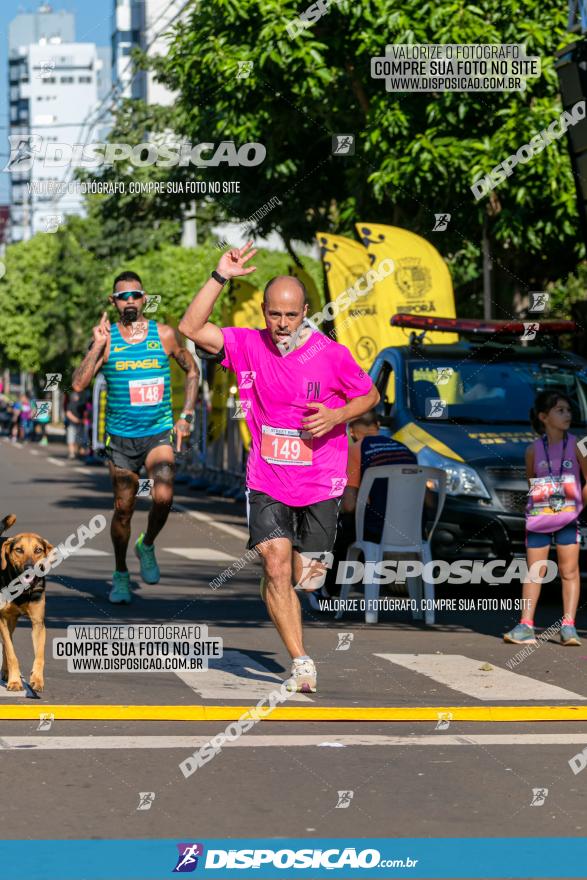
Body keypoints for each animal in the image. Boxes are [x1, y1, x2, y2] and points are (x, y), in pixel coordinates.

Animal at [0, 512, 53, 692]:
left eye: (38, 550)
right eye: (19, 550)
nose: (29, 568)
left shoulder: (38, 622)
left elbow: (40, 655)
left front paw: (37, 679)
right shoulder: (2, 619)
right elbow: (11, 653)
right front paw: (15, 682)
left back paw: (5, 672)